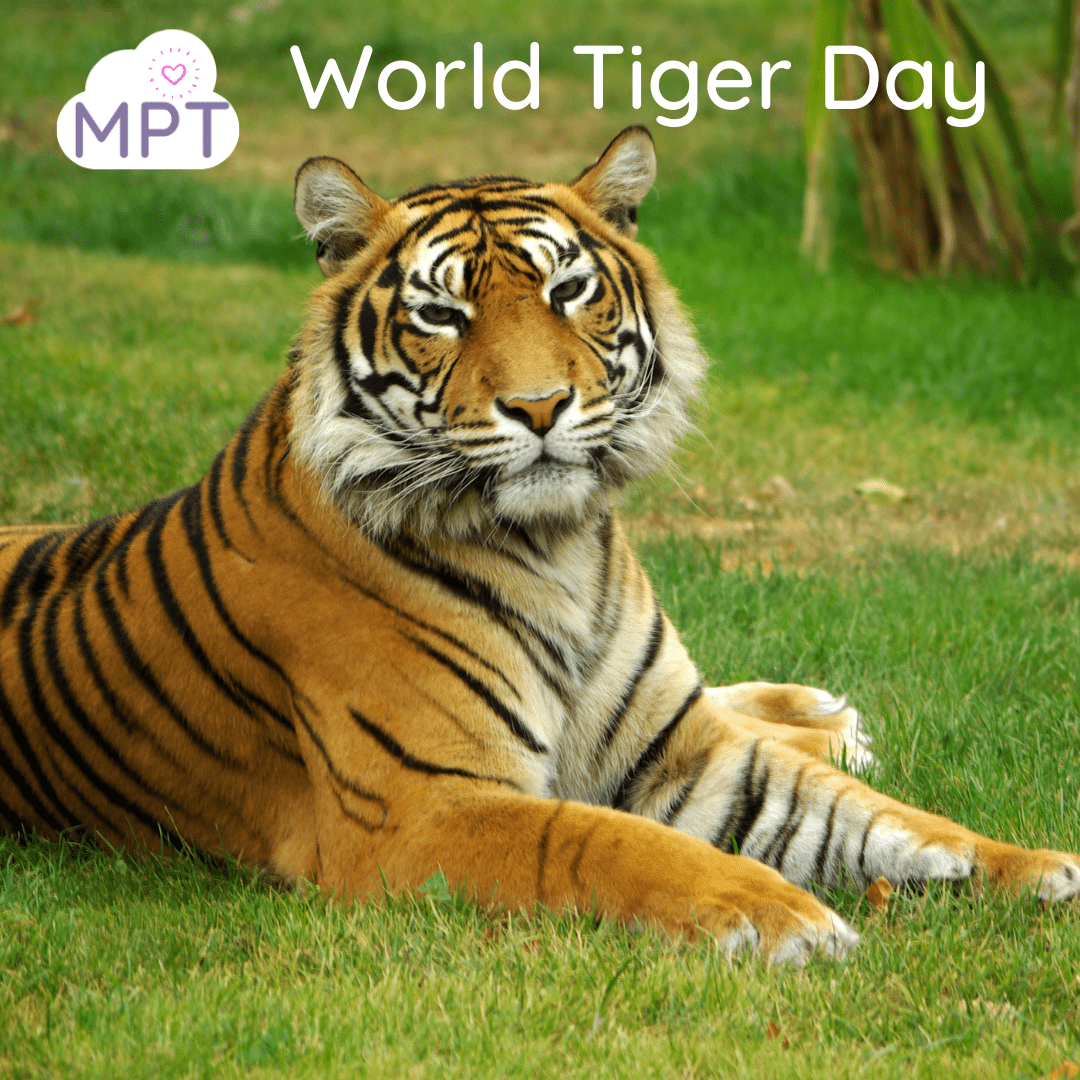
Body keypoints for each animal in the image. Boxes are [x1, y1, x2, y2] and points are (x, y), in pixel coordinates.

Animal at [1, 126, 1077, 965]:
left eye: (568, 290)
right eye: (441, 314)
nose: (540, 406)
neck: (558, 547)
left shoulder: (683, 748)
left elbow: (874, 818)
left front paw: (1028, 864)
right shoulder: (424, 808)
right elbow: (606, 840)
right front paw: (776, 912)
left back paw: (821, 716)